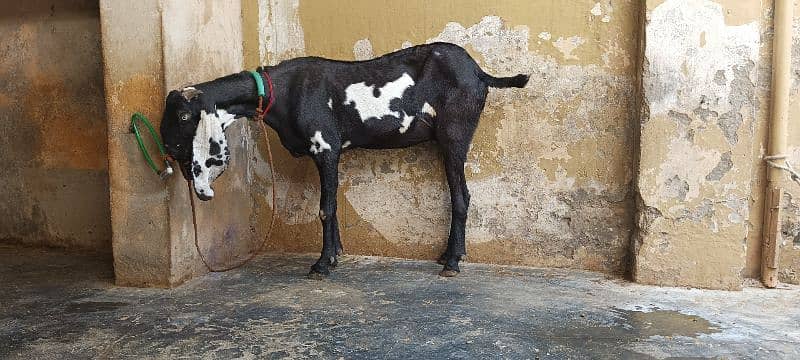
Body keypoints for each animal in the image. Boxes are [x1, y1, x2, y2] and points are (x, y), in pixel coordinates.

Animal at [159, 43, 528, 278]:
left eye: (183, 116)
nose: (166, 151)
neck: (282, 90)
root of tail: (479, 73)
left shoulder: (325, 147)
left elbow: (325, 208)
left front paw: (321, 265)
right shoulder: (330, 154)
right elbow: (333, 206)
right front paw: (335, 255)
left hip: (454, 136)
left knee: (461, 197)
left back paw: (452, 262)